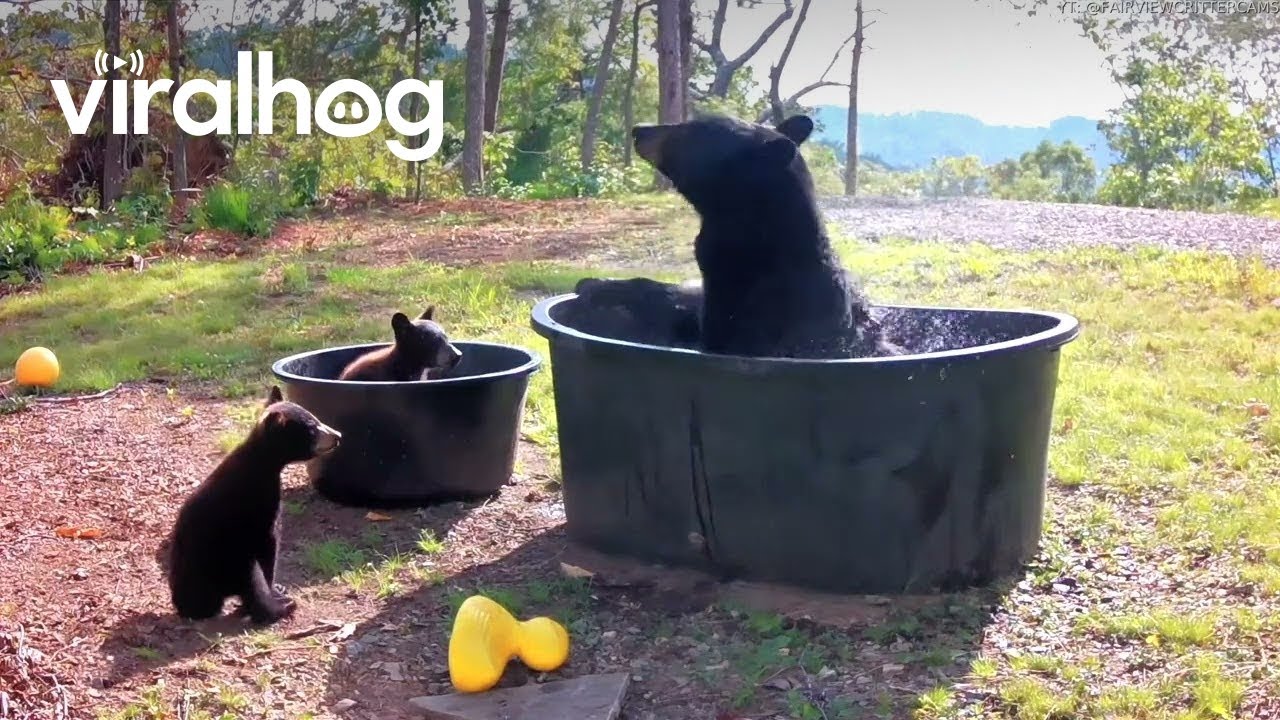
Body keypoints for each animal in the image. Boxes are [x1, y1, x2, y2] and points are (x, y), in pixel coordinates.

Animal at [165, 385, 341, 624]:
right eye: (312, 428)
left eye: (315, 418)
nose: (338, 435)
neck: (262, 464)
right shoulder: (259, 505)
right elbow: (269, 548)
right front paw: (276, 592)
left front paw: (278, 588)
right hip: (228, 555)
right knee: (251, 580)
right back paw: (280, 608)